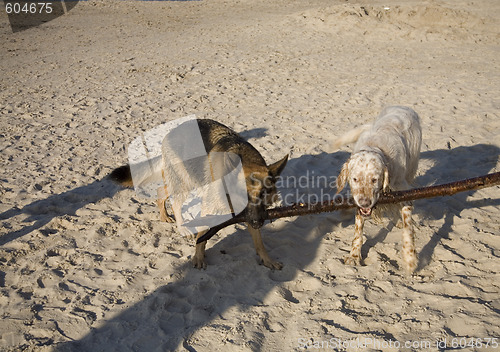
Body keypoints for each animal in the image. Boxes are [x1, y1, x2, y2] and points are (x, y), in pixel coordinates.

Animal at [110, 118, 290, 270]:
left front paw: (267, 260)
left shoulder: (251, 214)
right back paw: (183, 228)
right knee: (175, 203)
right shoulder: (211, 208)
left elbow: (259, 242)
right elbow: (202, 236)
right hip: (184, 183)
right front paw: (198, 257)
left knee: (161, 192)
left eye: (263, 194)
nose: (258, 222)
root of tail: (171, 132)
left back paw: (164, 216)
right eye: (242, 194)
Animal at [334, 106, 420, 274]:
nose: (365, 203)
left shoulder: (404, 191)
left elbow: (408, 228)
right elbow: (358, 231)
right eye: (355, 179)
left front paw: (410, 259)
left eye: (374, 179)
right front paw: (354, 256)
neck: (375, 146)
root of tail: (402, 107)